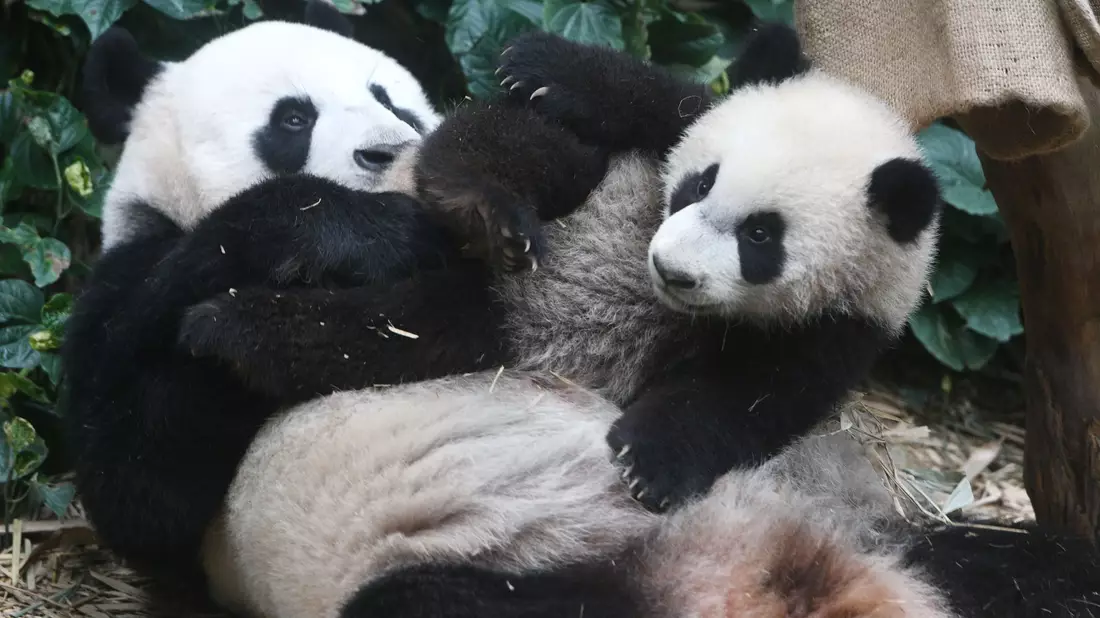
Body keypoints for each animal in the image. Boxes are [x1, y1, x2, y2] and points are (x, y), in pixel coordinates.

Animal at [62, 0, 462, 587]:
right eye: (293, 119)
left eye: (389, 100)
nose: (387, 151)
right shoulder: (121, 293)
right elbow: (133, 480)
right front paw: (368, 233)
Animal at [177, 23, 941, 514]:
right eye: (699, 184)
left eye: (761, 237)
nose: (670, 270)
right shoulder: (668, 130)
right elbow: (648, 95)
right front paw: (541, 62)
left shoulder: (834, 330)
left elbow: (741, 401)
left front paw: (647, 463)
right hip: (566, 195)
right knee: (506, 148)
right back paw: (488, 211)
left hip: (476, 329)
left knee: (381, 333)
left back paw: (234, 330)